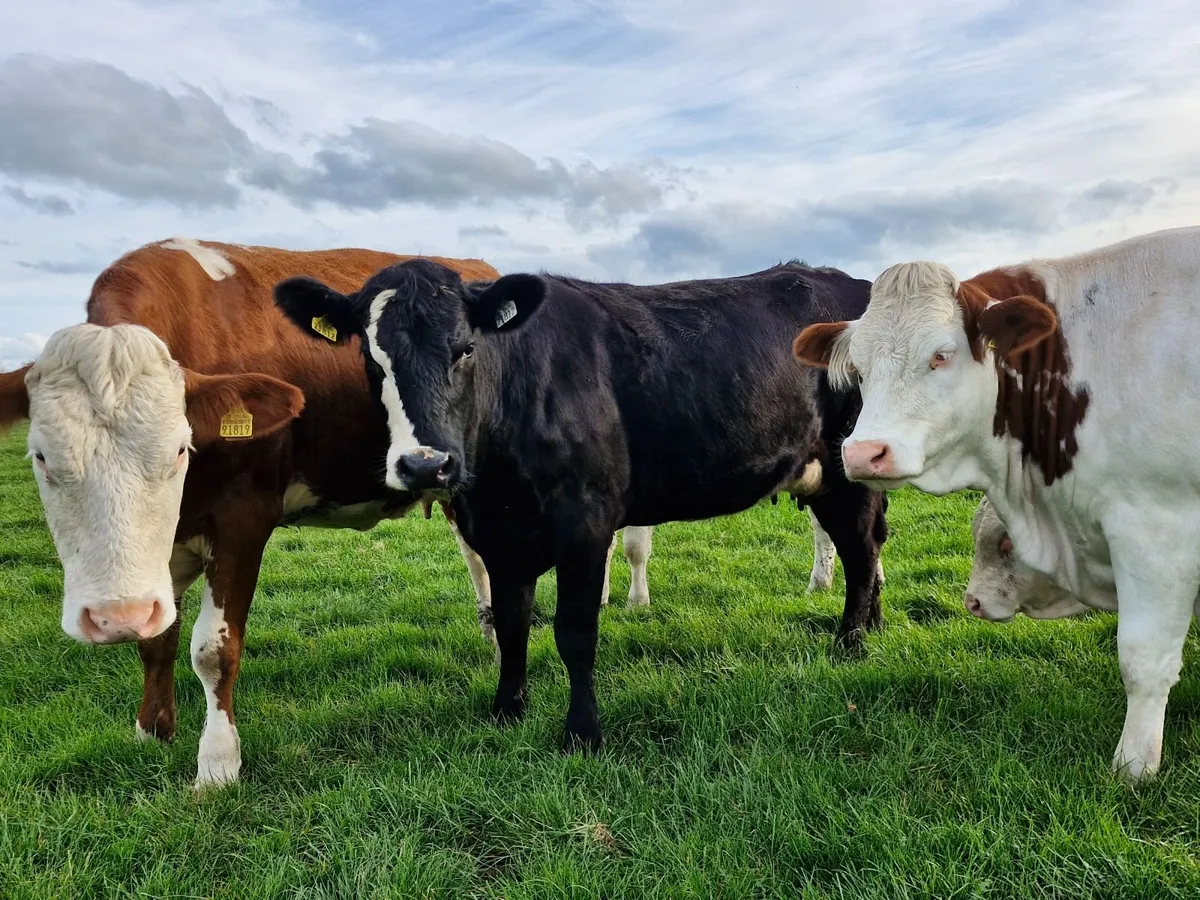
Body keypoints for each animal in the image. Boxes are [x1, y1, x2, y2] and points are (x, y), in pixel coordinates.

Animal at [0, 238, 520, 789]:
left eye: (179, 449)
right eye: (40, 458)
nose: (115, 617)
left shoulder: (242, 521)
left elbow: (213, 650)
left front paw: (217, 767)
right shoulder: (164, 552)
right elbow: (158, 640)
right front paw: (152, 731)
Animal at [274, 258, 889, 752]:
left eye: (467, 348)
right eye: (372, 359)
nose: (427, 465)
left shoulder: (586, 522)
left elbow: (574, 632)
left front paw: (582, 732)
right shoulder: (496, 534)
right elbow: (512, 622)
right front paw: (507, 709)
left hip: (846, 467)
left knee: (859, 550)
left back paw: (850, 644)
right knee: (870, 543)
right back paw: (874, 626)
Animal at [793, 225, 1200, 781]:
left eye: (941, 354)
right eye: (857, 367)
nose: (862, 452)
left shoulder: (1157, 527)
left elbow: (1143, 659)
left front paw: (1133, 768)